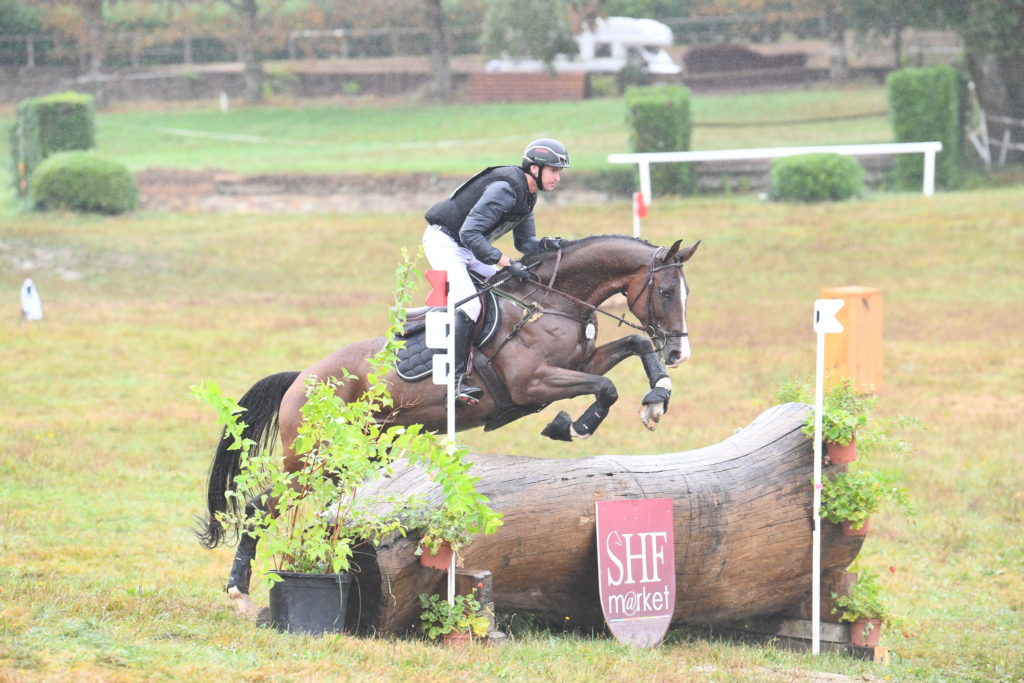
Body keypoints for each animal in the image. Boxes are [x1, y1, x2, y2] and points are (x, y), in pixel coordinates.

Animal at [195, 236, 700, 614]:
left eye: (685, 294)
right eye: (666, 292)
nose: (679, 352)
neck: (552, 302)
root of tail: (303, 379)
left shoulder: (580, 362)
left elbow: (633, 346)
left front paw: (657, 398)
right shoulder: (532, 383)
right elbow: (606, 388)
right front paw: (571, 426)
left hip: (359, 453)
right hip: (313, 457)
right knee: (260, 505)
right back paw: (239, 591)